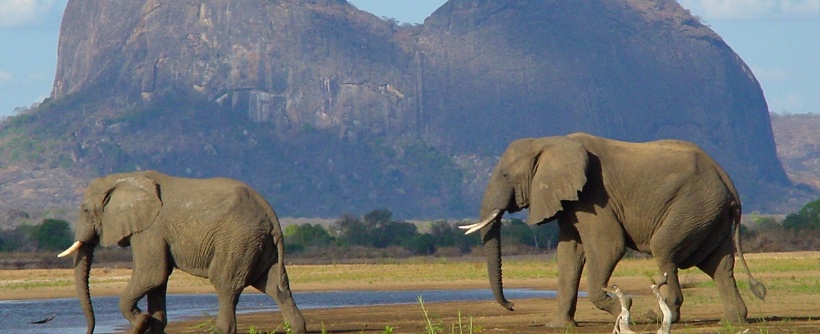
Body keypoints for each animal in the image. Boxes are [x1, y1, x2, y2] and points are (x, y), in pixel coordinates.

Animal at [57, 172, 306, 334]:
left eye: (85, 210)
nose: (89, 331)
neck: (124, 177)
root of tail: (272, 217)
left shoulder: (151, 228)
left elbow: (152, 274)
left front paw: (141, 322)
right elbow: (158, 281)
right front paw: (150, 322)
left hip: (238, 240)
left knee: (226, 285)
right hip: (260, 246)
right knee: (275, 288)